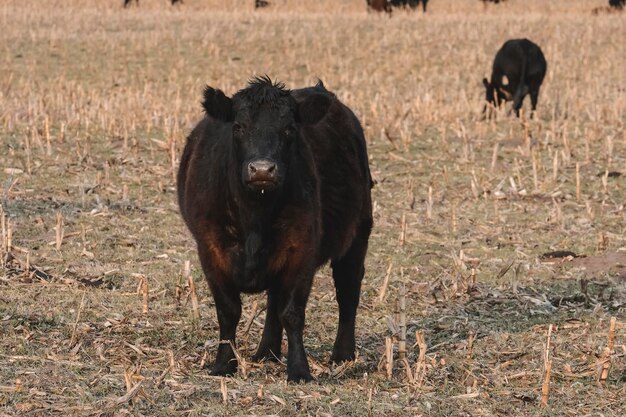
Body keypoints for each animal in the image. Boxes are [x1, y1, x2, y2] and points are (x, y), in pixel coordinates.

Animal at [176, 76, 370, 382]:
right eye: (238, 127)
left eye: (289, 129)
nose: (262, 170)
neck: (254, 216)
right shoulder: (210, 250)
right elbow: (228, 312)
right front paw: (223, 364)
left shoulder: (302, 250)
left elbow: (292, 312)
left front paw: (299, 370)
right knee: (274, 298)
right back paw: (267, 351)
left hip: (358, 232)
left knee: (348, 289)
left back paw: (343, 355)